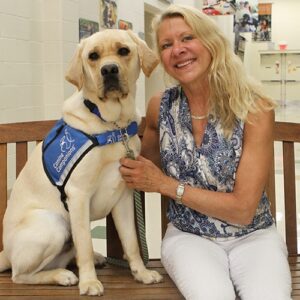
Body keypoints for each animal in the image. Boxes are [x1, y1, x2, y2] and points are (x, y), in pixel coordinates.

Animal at [0, 29, 162, 296]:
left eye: (123, 51)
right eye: (93, 56)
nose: (109, 70)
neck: (112, 125)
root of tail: (6, 253)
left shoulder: (123, 195)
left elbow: (131, 242)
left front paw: (142, 273)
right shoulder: (78, 195)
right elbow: (85, 242)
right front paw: (89, 282)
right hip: (53, 224)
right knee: (19, 275)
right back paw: (62, 275)